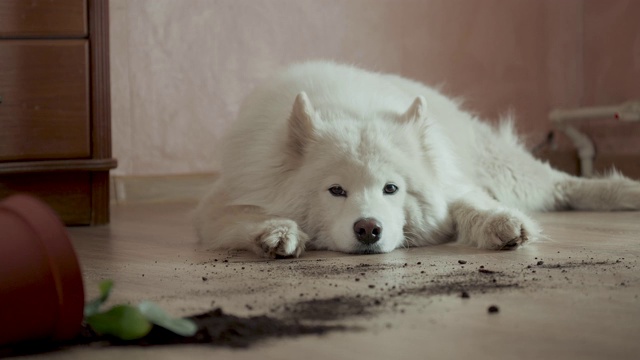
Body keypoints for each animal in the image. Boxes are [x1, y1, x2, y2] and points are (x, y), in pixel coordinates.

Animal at [194, 62, 640, 258]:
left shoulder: (453, 183)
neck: (348, 110)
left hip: (503, 170)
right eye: (336, 191)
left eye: (392, 188)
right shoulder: (228, 195)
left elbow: (469, 203)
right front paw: (277, 232)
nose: (368, 229)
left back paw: (626, 192)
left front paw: (500, 223)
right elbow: (241, 216)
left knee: (562, 184)